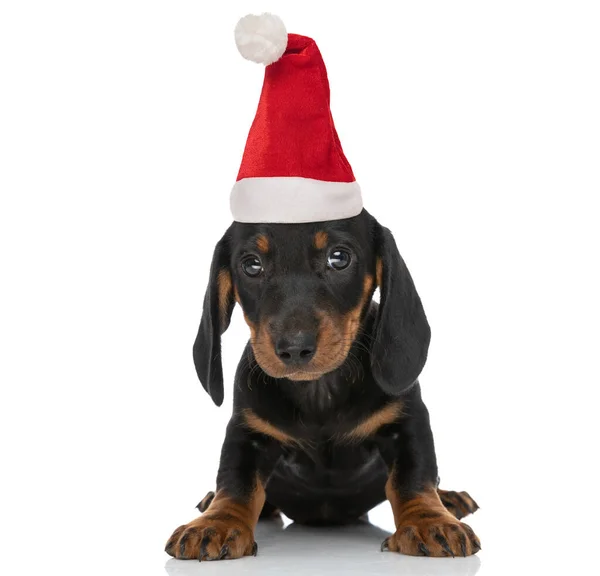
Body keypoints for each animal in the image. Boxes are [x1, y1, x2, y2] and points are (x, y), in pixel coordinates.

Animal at [165, 209, 482, 560]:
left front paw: (430, 521)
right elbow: (235, 484)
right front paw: (216, 523)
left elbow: (414, 477)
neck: (318, 390)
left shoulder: (407, 422)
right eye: (252, 265)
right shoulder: (248, 432)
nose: (294, 348)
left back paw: (450, 499)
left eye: (339, 258)